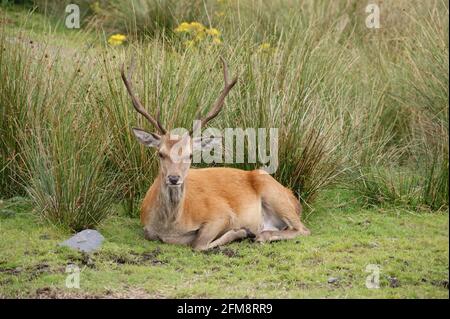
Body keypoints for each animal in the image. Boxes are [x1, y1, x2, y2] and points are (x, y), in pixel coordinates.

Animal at [120, 58, 310, 252]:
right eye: (160, 153)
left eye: (190, 155)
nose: (173, 178)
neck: (171, 227)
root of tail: (293, 197)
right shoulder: (146, 228)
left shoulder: (222, 214)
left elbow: (198, 244)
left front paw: (242, 231)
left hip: (273, 193)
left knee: (303, 229)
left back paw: (261, 235)